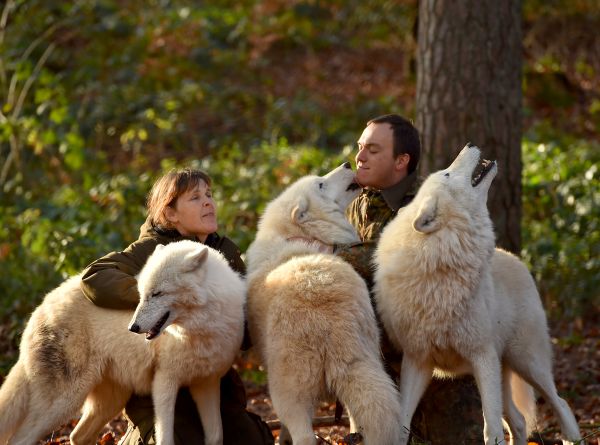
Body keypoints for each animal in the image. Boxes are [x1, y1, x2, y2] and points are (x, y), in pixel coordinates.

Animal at [0, 239, 246, 444]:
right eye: (141, 294)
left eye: (157, 294)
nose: (133, 328)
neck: (201, 328)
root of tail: (40, 307)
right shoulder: (164, 382)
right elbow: (166, 437)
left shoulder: (207, 384)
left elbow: (216, 435)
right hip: (64, 403)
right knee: (19, 439)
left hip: (109, 401)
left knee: (77, 435)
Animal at [246, 162, 406, 444]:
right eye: (320, 184)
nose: (347, 163)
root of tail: (327, 317)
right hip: (363, 360)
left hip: (287, 386)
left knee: (303, 433)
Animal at [376, 144, 580, 444]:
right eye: (447, 173)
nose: (469, 146)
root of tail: (516, 258)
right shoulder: (417, 360)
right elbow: (401, 424)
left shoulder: (482, 355)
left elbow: (491, 431)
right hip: (504, 368)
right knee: (519, 421)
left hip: (526, 362)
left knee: (561, 404)